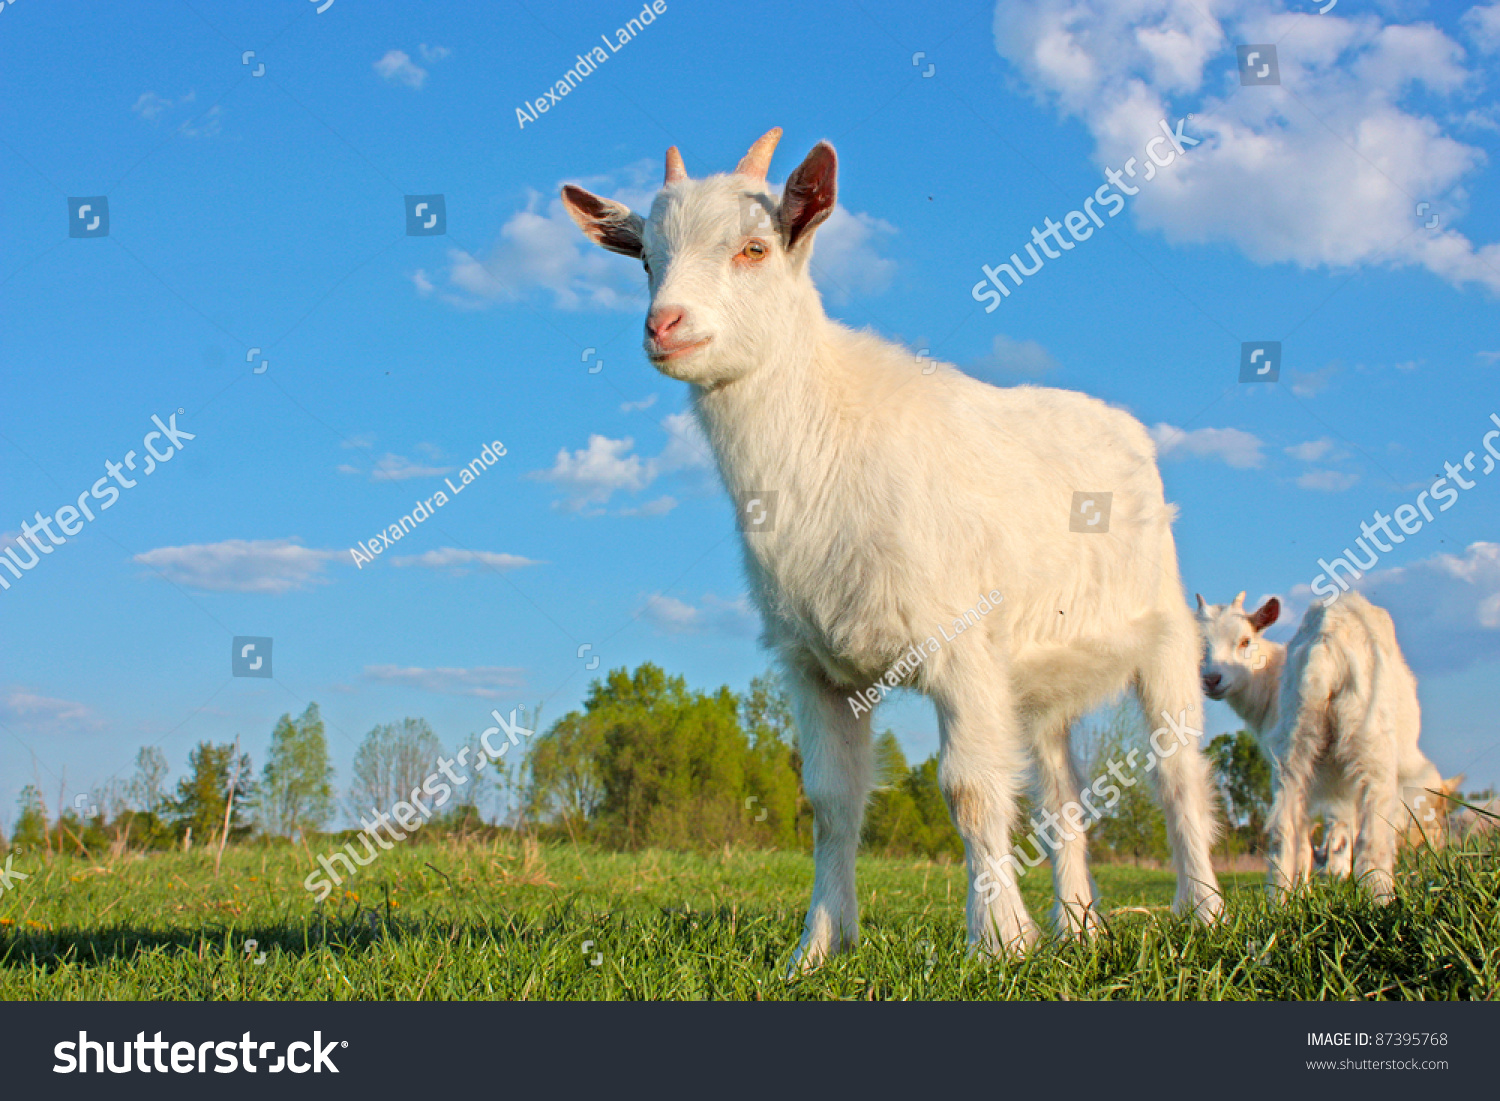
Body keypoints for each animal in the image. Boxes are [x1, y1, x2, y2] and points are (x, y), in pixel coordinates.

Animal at [562, 128, 1222, 968]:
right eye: (645, 258)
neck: (825, 440)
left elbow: (971, 790)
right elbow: (831, 801)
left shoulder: (963, 646)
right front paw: (817, 946)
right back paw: (1080, 926)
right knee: (1061, 789)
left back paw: (1203, 912)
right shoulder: (814, 666)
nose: (665, 325)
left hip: (1166, 630)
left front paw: (998, 940)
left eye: (754, 248)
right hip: (1038, 676)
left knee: (1178, 772)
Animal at [1197, 590, 1453, 901]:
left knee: (1284, 825)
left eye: (1245, 641)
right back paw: (1381, 897)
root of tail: (1326, 648)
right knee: (1374, 829)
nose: (1212, 679)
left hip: (1296, 739)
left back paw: (1281, 900)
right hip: (1370, 738)